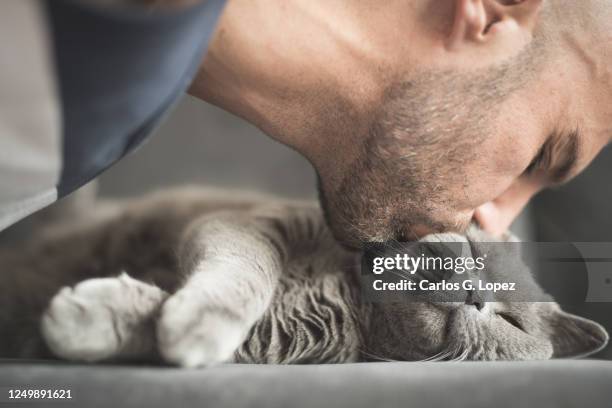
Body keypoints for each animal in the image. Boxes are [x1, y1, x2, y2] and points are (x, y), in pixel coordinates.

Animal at [0, 186, 608, 364]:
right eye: (476, 252)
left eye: (511, 322)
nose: (476, 293)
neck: (348, 295)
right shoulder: (247, 223)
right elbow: (246, 274)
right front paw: (199, 320)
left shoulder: (272, 342)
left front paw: (88, 319)